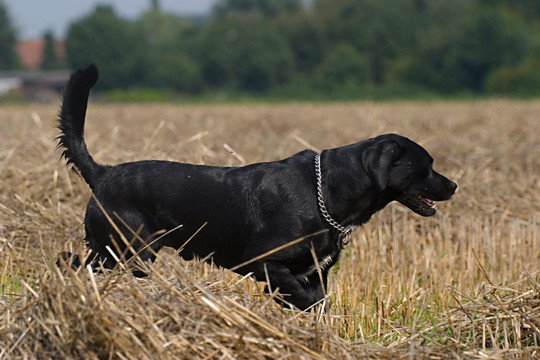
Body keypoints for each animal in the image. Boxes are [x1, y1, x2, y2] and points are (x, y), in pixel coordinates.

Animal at [58, 64, 456, 310]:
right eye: (427, 166)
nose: (453, 185)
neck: (324, 192)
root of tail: (103, 173)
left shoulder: (315, 273)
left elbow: (315, 304)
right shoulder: (264, 261)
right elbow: (310, 301)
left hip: (116, 252)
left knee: (71, 261)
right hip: (128, 252)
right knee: (76, 263)